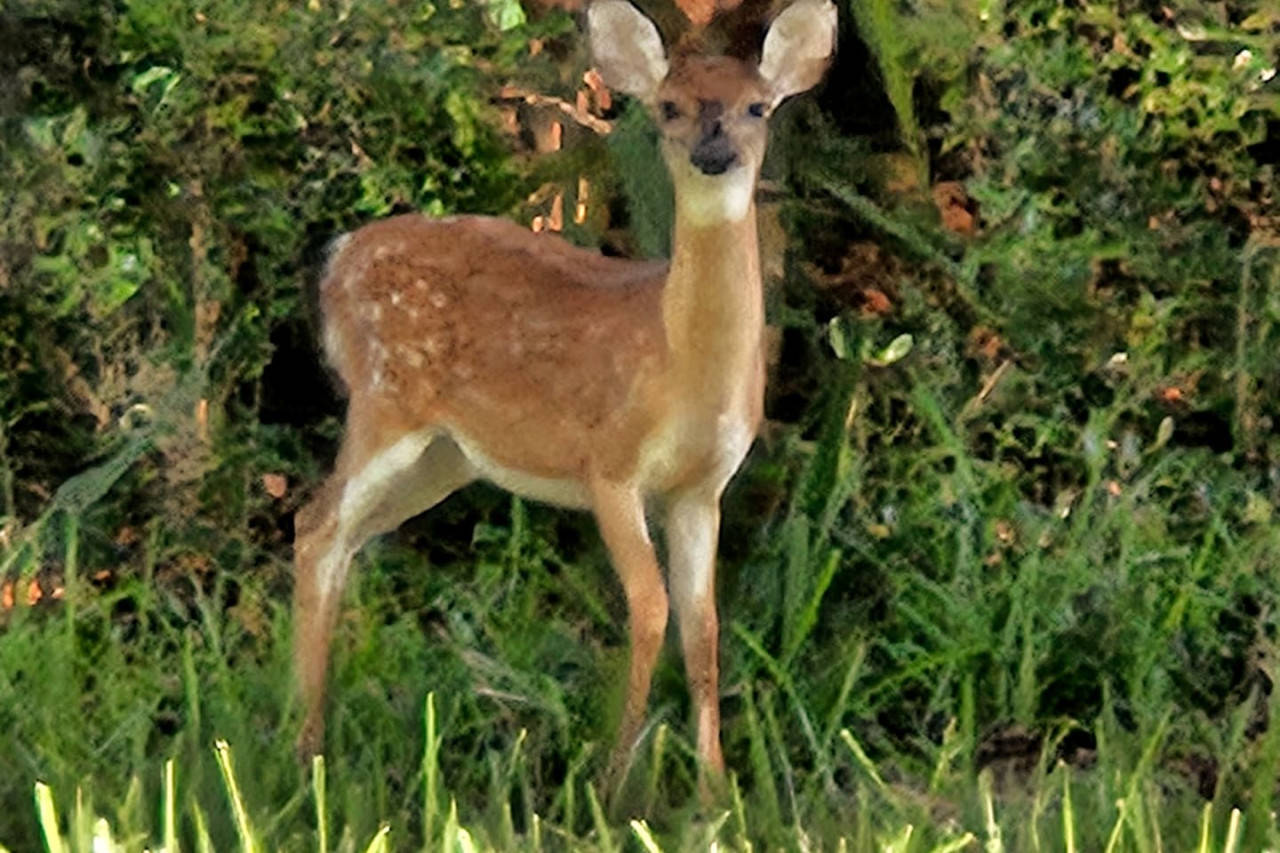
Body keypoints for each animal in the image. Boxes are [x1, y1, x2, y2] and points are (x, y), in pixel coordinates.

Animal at [293, 0, 839, 794]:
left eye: (755, 107)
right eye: (669, 107)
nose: (714, 149)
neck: (678, 366)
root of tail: (335, 261)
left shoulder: (701, 488)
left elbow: (704, 627)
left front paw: (715, 787)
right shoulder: (609, 462)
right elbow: (650, 608)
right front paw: (615, 782)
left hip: (446, 457)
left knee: (344, 537)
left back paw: (318, 738)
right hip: (386, 400)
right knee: (314, 524)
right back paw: (303, 745)